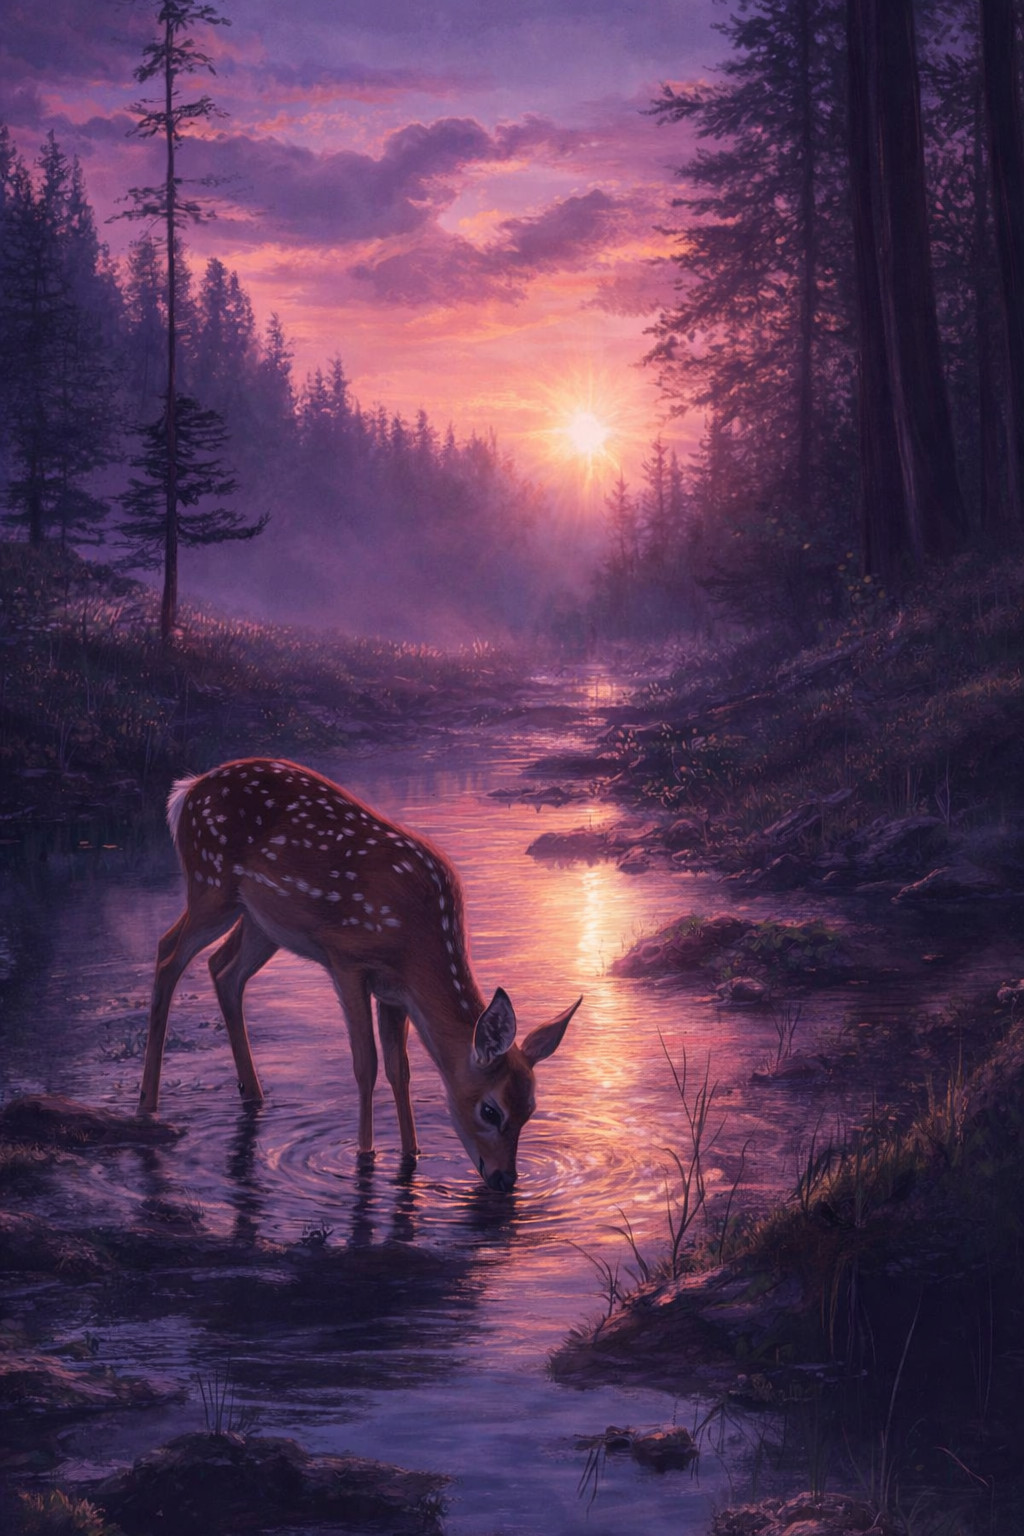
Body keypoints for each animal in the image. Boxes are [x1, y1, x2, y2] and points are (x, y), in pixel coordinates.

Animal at [138, 757, 580, 1191]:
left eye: (531, 1109)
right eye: (491, 1110)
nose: (505, 1179)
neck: (418, 940)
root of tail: (187, 791)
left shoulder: (395, 993)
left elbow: (400, 1070)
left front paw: (411, 1155)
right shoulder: (347, 960)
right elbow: (365, 1062)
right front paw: (365, 1156)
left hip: (262, 921)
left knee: (223, 969)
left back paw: (253, 1094)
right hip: (211, 884)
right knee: (167, 952)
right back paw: (147, 1103)